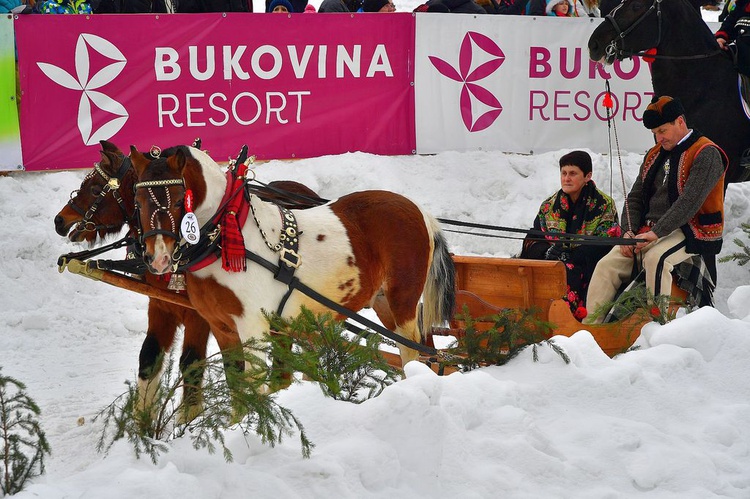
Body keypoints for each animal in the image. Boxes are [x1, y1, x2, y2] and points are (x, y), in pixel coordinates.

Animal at [131, 145, 458, 372]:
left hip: (403, 299)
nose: (157, 257)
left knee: (411, 352)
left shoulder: (253, 328)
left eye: (178, 201)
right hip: (382, 300)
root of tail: (418, 210)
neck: (224, 234)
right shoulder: (223, 329)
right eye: (138, 201)